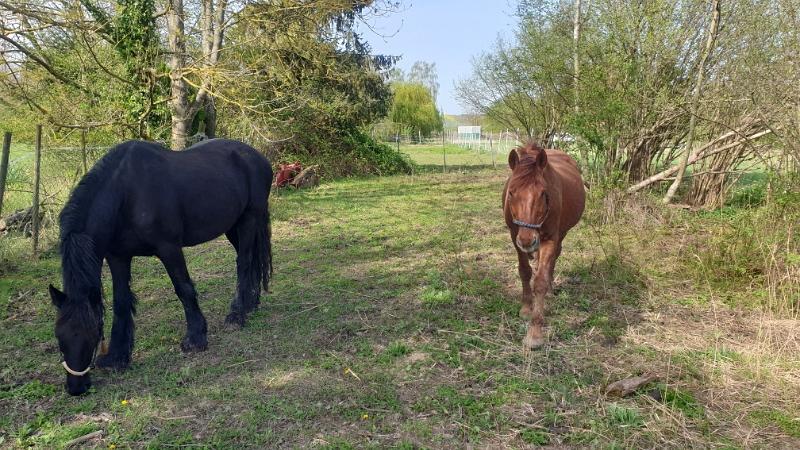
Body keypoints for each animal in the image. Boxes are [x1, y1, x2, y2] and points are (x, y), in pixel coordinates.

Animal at [50, 139, 276, 396]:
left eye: (94, 334)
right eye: (59, 336)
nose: (76, 387)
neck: (126, 194)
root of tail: (257, 156)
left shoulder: (169, 248)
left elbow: (184, 289)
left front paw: (195, 339)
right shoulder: (117, 256)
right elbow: (121, 301)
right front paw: (117, 357)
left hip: (249, 219)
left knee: (244, 261)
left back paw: (237, 314)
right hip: (232, 226)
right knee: (251, 261)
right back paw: (251, 303)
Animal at [504, 141, 584, 348]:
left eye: (543, 193)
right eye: (511, 193)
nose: (527, 240)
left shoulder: (550, 238)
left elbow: (540, 280)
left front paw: (535, 332)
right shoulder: (515, 236)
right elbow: (525, 272)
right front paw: (525, 308)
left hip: (561, 233)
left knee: (554, 257)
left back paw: (549, 289)